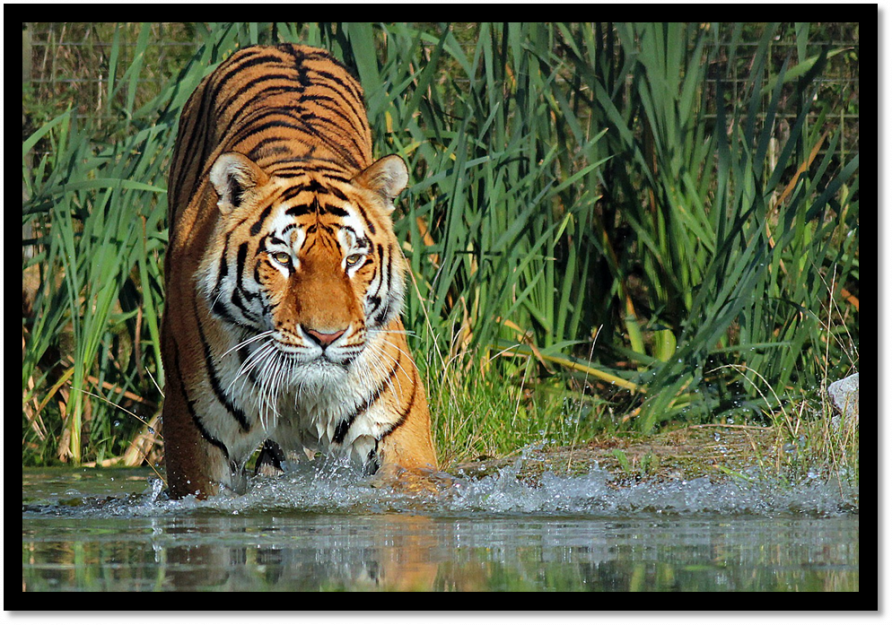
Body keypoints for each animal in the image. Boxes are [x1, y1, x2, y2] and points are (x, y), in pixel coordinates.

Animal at [163, 44, 440, 500]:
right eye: (282, 259)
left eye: (353, 259)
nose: (326, 337)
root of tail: (280, 44)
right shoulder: (196, 444)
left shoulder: (401, 437)